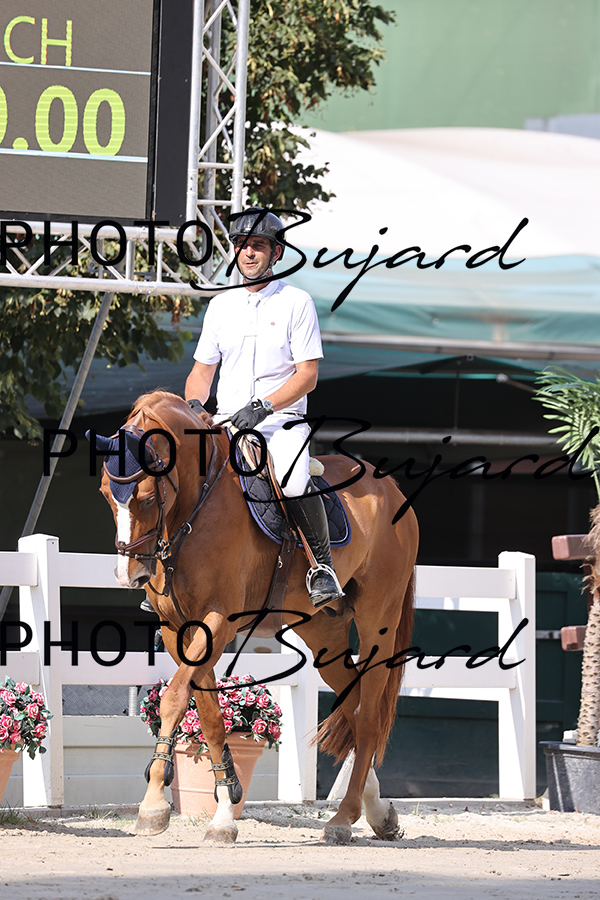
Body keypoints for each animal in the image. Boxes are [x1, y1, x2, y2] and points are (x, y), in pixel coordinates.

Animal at [94, 390, 418, 844]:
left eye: (145, 497)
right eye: (107, 494)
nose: (131, 575)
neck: (193, 509)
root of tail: (386, 484)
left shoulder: (220, 619)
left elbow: (175, 698)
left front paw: (155, 805)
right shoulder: (178, 627)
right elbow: (209, 713)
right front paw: (222, 810)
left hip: (378, 620)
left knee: (369, 715)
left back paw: (344, 817)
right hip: (324, 631)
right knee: (354, 708)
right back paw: (376, 810)